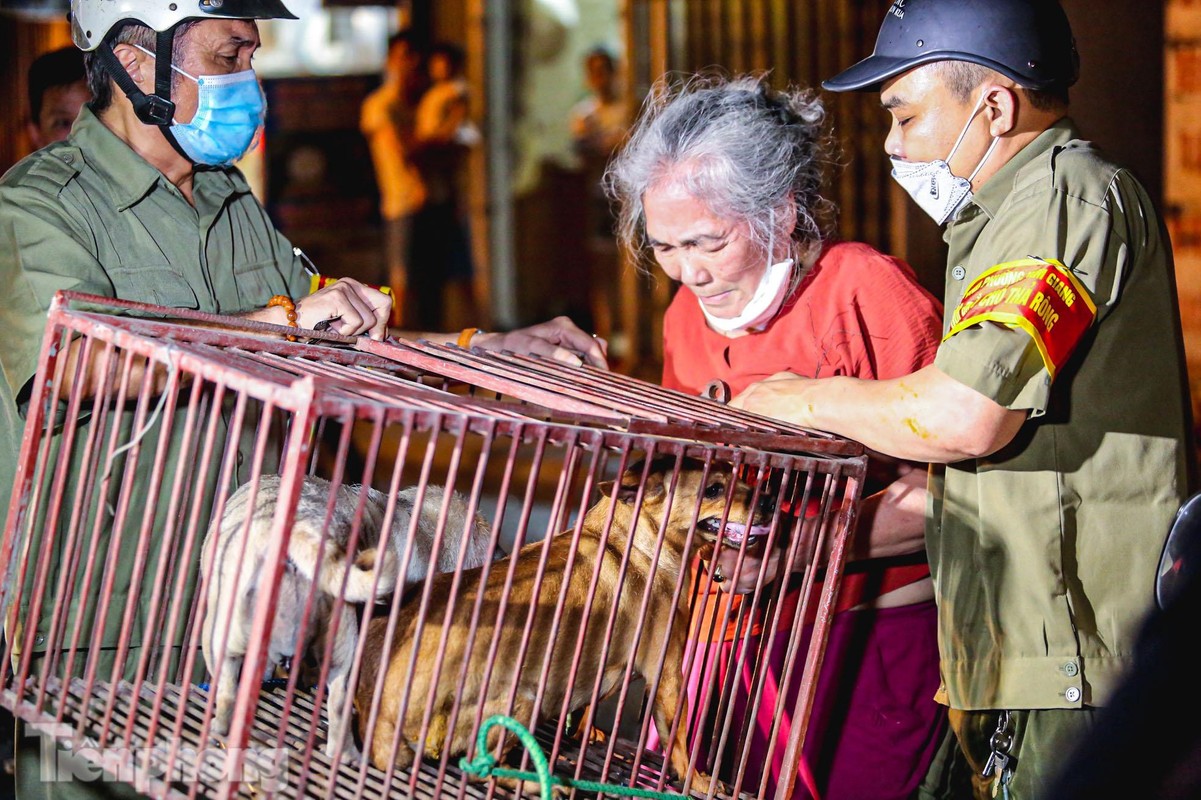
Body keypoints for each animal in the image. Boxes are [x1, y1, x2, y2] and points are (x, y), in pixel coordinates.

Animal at [350, 454, 773, 792]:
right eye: (715, 489)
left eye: (738, 475)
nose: (771, 500)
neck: (636, 538)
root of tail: (379, 720)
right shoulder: (667, 674)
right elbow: (681, 740)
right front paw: (699, 780)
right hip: (523, 699)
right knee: (478, 767)